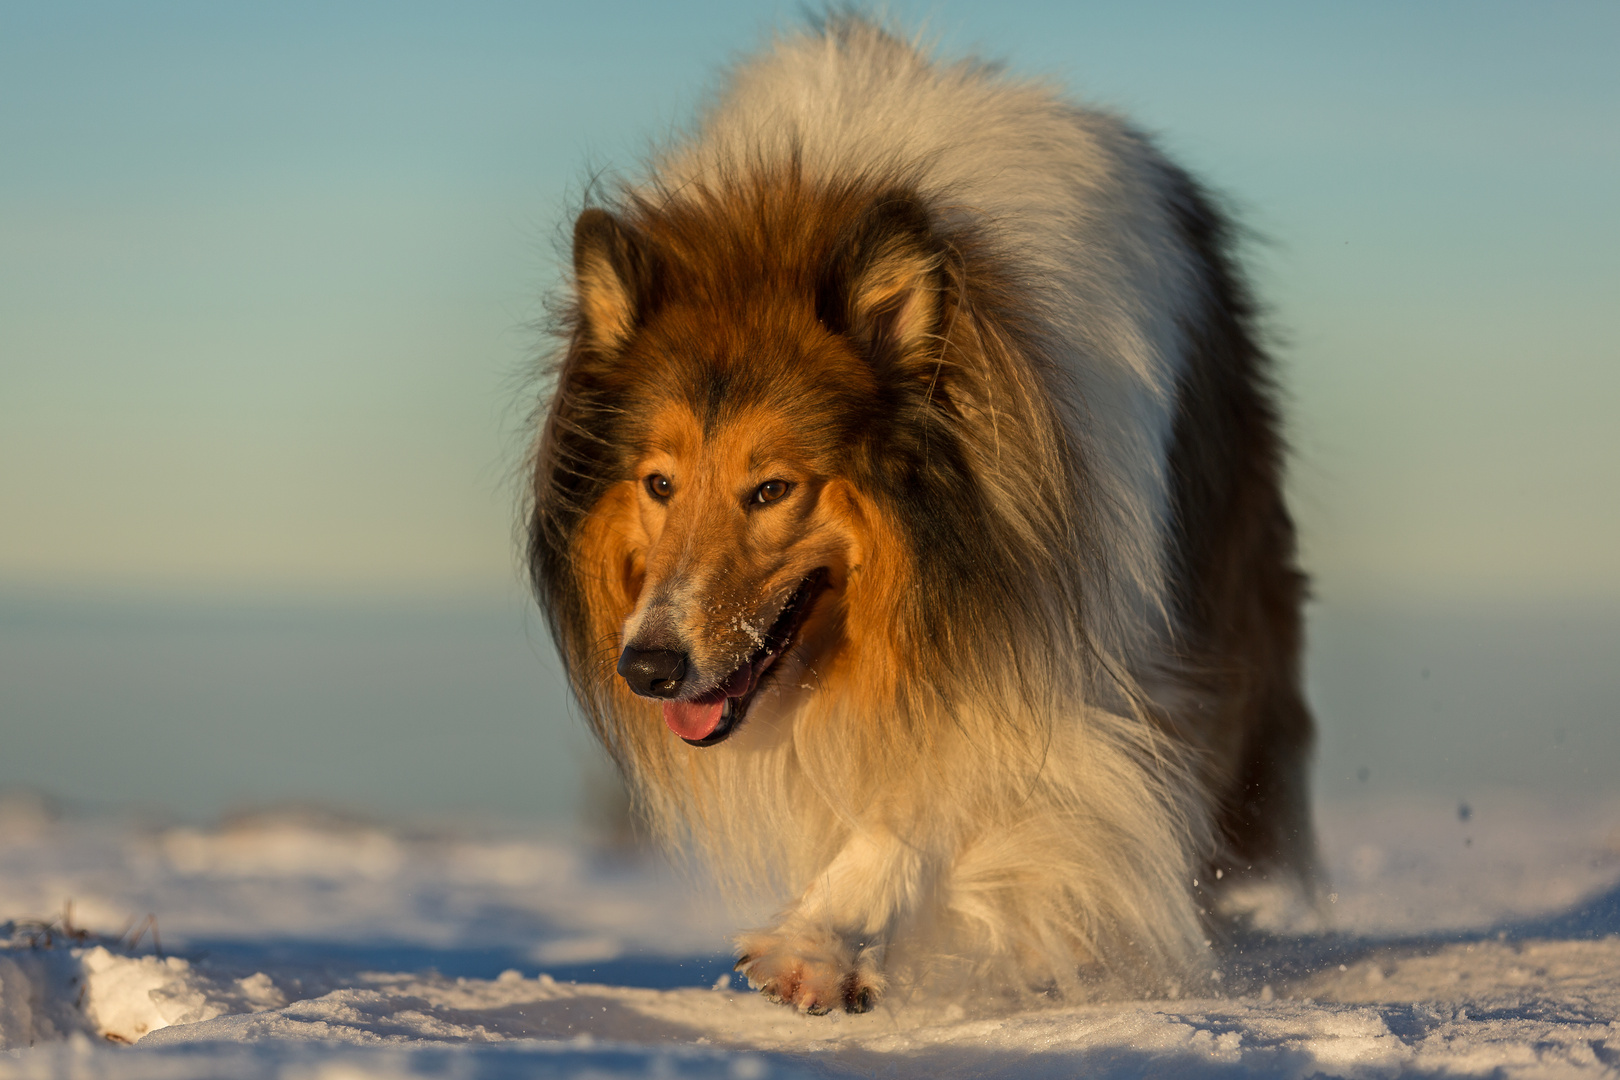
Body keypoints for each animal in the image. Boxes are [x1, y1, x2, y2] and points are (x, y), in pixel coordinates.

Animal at [531, 19, 1315, 1016]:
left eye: (773, 488)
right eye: (659, 483)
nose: (648, 668)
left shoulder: (1063, 649)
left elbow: (944, 790)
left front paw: (816, 944)